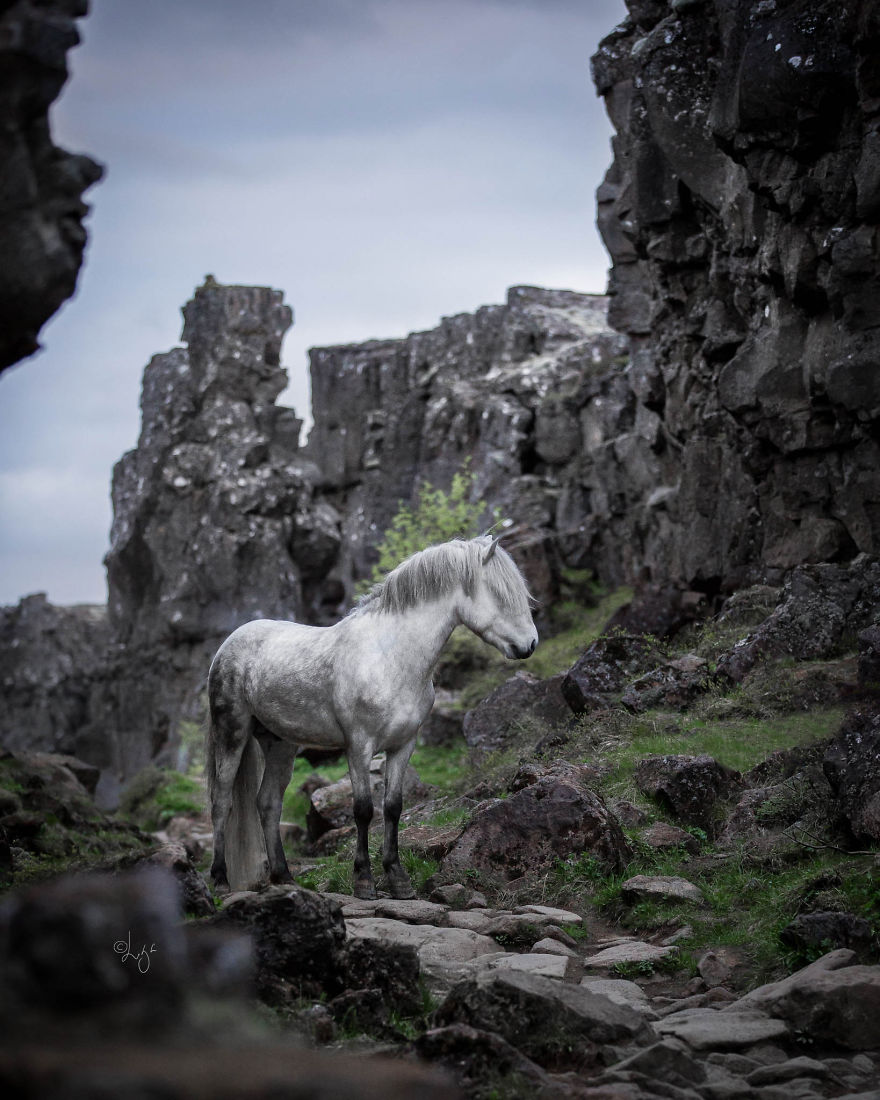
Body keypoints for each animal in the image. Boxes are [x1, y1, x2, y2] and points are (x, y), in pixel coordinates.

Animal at [205, 534, 538, 899]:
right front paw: (364, 881)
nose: (530, 644)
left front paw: (398, 879)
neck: (389, 657)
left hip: (280, 743)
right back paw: (220, 880)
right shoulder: (359, 746)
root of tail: (231, 642)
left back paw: (285, 877)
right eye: (499, 593)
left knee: (268, 803)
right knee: (222, 802)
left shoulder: (403, 746)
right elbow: (363, 810)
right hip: (231, 733)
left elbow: (392, 807)